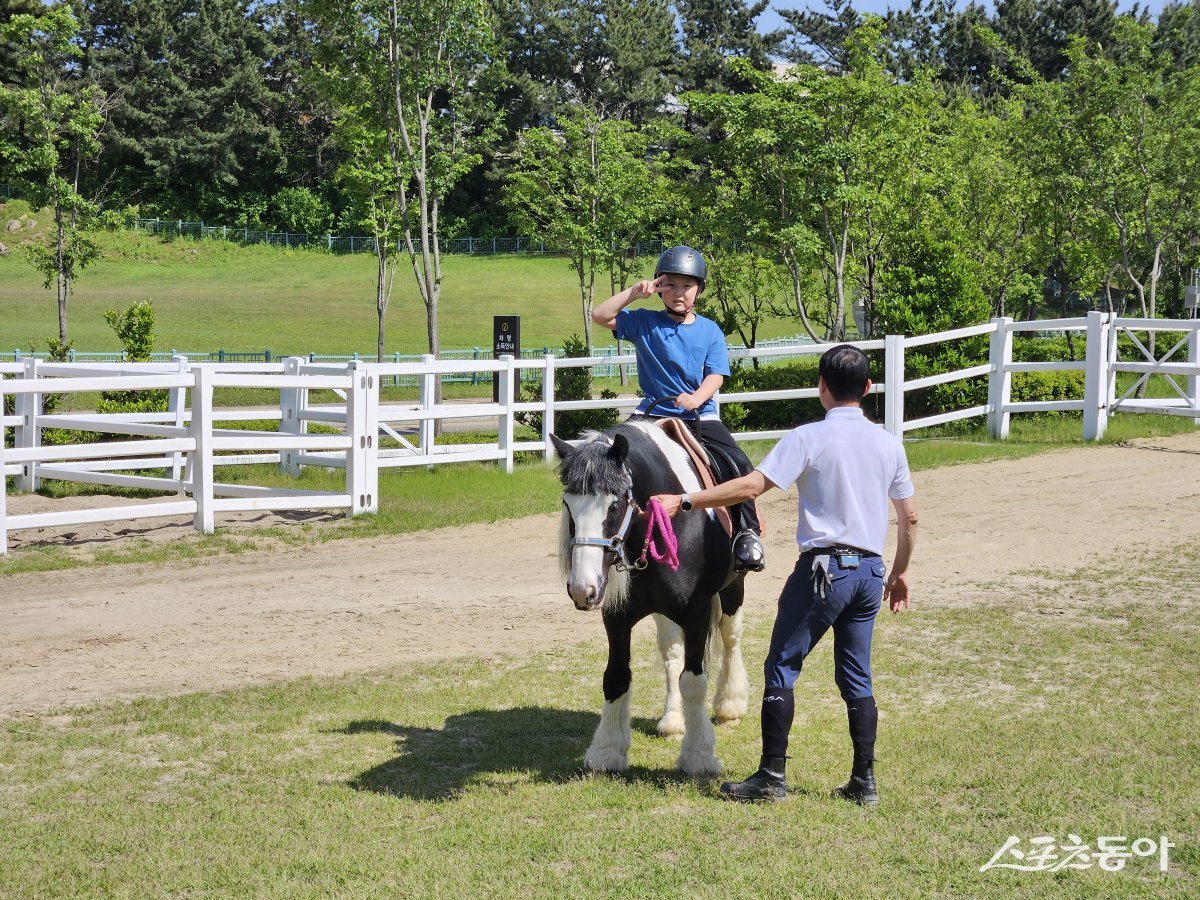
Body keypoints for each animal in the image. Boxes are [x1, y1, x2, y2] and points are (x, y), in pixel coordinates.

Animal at [552, 422, 748, 777]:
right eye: (567, 503)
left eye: (614, 505)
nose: (582, 589)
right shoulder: (616, 618)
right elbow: (616, 677)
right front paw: (607, 752)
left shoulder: (697, 612)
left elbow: (694, 681)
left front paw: (699, 756)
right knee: (671, 653)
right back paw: (673, 720)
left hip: (732, 591)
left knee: (730, 639)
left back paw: (730, 705)